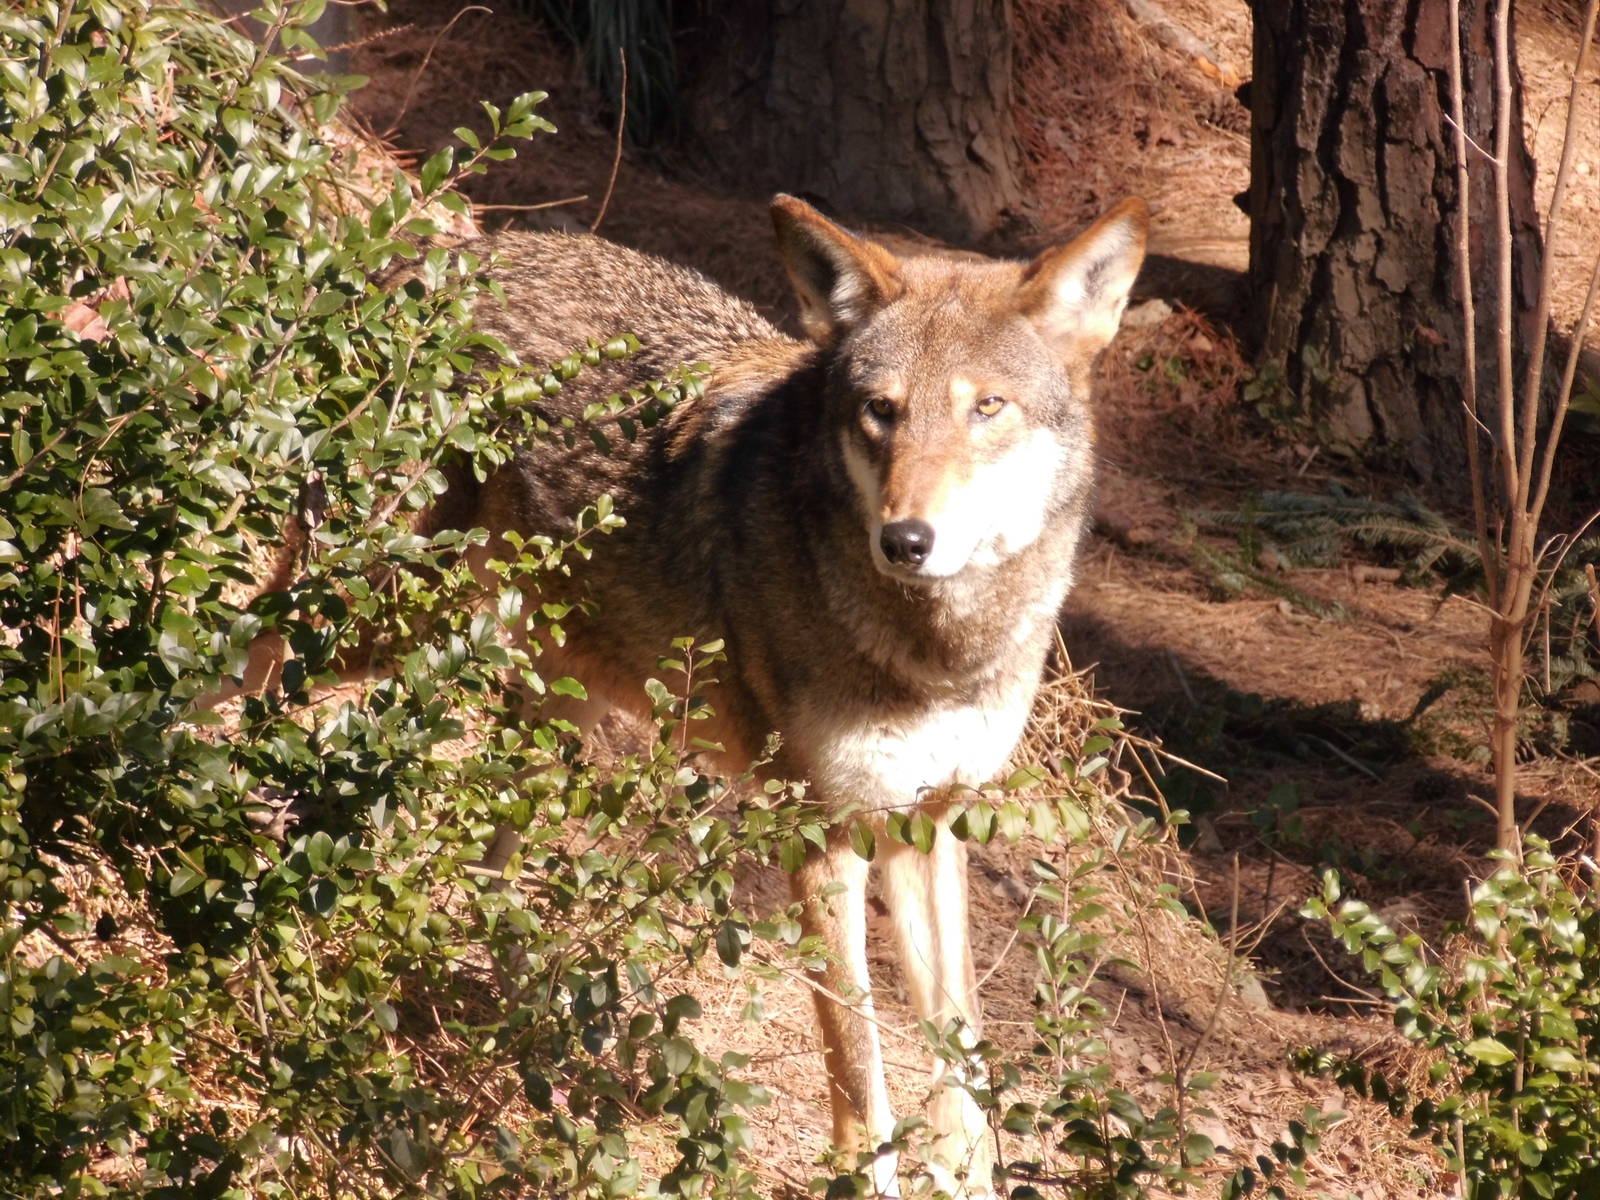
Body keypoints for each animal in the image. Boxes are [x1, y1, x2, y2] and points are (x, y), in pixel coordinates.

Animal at [223, 193, 1147, 1196]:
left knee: (485, 869)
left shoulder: (929, 821)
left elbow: (965, 1067)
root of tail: (437, 254)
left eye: (987, 408)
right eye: (880, 412)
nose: (906, 539)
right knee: (244, 665)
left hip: (551, 696)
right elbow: (862, 1073)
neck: (936, 653)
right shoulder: (821, 836)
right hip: (377, 622)